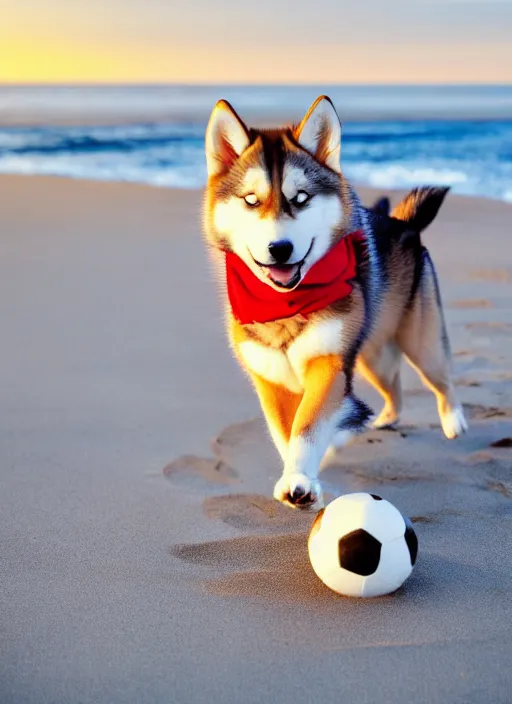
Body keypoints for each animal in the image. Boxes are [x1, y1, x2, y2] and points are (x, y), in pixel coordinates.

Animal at [202, 96, 466, 508]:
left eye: (301, 198)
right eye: (250, 200)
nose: (280, 248)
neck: (285, 304)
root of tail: (404, 224)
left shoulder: (328, 364)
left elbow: (308, 425)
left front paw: (302, 480)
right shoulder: (270, 379)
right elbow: (286, 431)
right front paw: (302, 474)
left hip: (420, 343)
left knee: (442, 379)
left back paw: (454, 421)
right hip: (372, 353)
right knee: (394, 386)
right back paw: (386, 419)